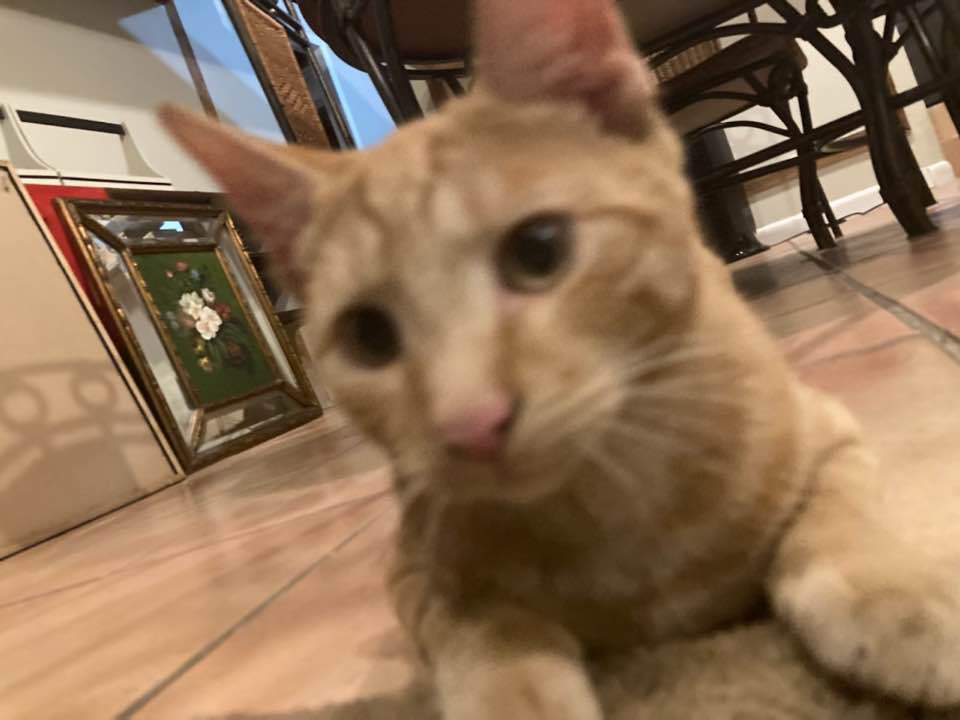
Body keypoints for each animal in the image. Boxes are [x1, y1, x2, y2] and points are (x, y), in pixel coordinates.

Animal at [159, 0, 960, 716]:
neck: (625, 490)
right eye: (369, 335)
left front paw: (901, 604)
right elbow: (484, 629)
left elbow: (833, 526)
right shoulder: (418, 567)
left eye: (539, 250)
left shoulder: (832, 431)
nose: (470, 425)